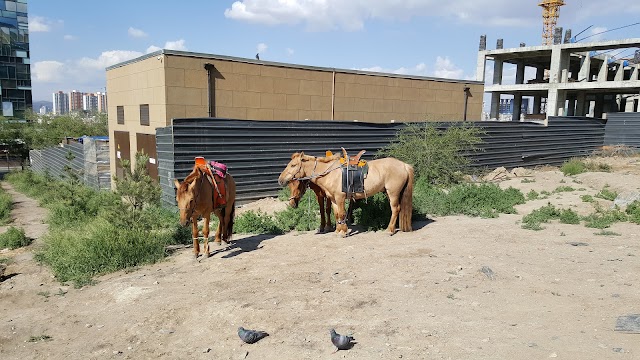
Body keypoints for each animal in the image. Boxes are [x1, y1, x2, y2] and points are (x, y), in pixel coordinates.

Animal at [280, 152, 416, 236]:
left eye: (293, 165)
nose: (280, 180)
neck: (330, 173)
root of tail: (404, 165)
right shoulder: (333, 199)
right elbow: (336, 214)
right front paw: (338, 230)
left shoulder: (340, 197)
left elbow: (341, 213)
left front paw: (343, 232)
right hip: (389, 192)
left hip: (393, 193)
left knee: (395, 209)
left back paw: (389, 230)